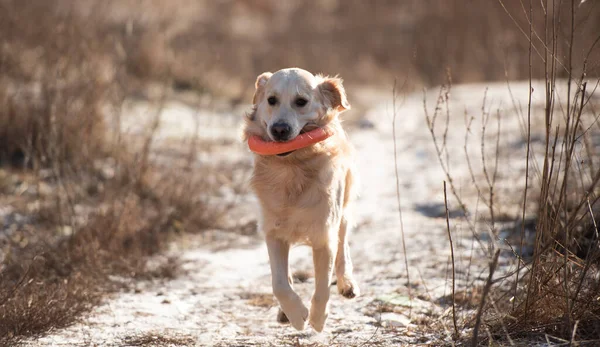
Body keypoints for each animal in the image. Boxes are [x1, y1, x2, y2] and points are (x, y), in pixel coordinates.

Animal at [241, 67, 358, 332]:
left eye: (301, 101)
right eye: (271, 100)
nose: (279, 129)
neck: (292, 168)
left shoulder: (324, 232)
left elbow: (322, 286)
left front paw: (317, 318)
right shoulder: (273, 231)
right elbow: (279, 283)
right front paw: (294, 314)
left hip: (344, 204)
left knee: (343, 240)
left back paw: (347, 283)